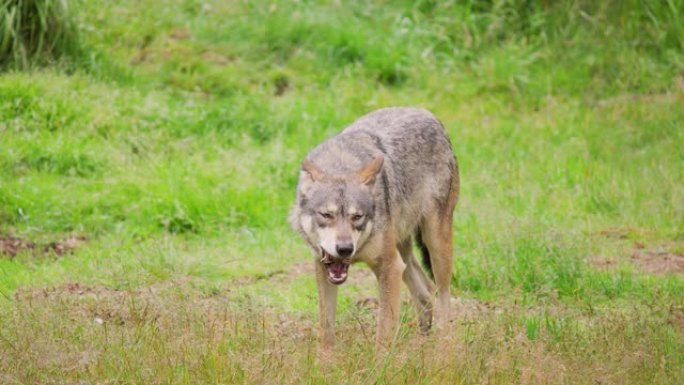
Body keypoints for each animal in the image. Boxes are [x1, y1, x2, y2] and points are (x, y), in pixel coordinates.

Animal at [288, 106, 460, 350]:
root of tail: (426, 112)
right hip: (403, 255)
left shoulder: (390, 267)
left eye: (357, 217)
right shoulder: (322, 266)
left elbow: (384, 333)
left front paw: (381, 361)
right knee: (426, 291)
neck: (341, 164)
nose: (344, 249)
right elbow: (326, 331)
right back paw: (422, 344)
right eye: (326, 215)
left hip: (434, 243)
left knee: (444, 296)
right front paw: (325, 361)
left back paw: (443, 345)